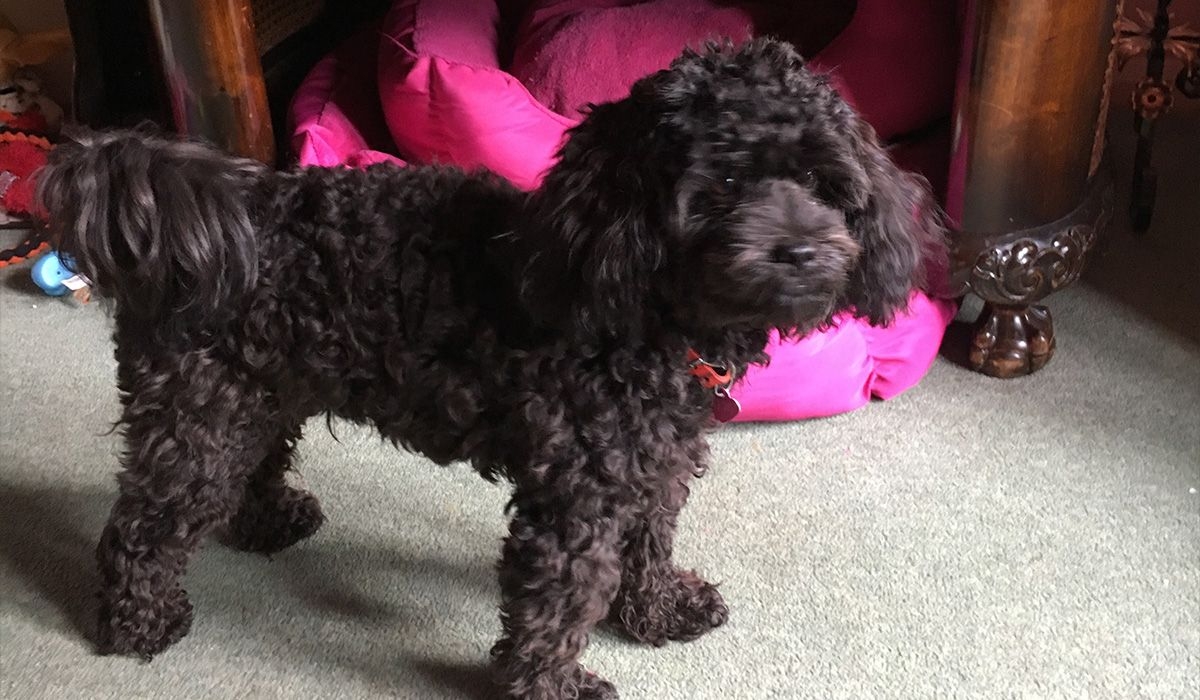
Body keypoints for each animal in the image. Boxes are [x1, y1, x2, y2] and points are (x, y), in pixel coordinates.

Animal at [37, 39, 945, 700]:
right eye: (721, 183)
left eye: (825, 183)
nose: (802, 250)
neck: (642, 308)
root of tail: (214, 213)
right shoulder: (578, 494)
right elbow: (558, 602)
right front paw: (552, 687)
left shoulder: (650, 466)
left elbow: (648, 544)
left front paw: (658, 609)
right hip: (196, 419)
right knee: (142, 528)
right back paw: (136, 624)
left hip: (257, 395)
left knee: (251, 467)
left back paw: (266, 522)